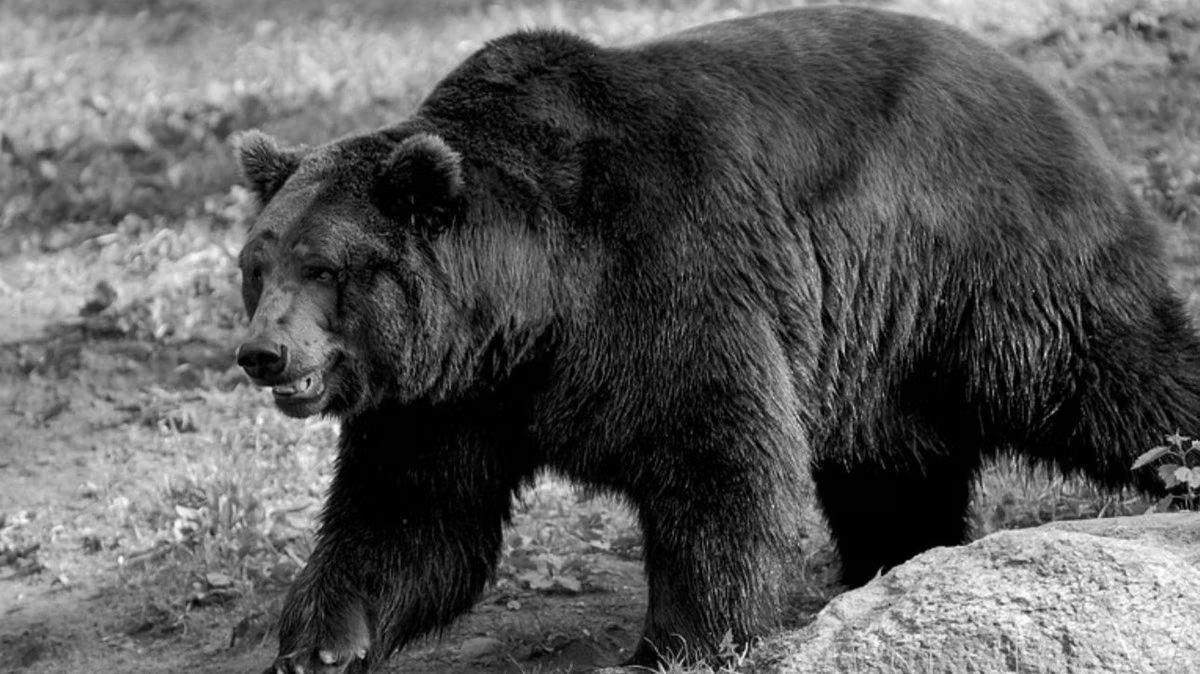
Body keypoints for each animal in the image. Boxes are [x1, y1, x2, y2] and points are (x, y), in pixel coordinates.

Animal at [233, 5, 1200, 673]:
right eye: (256, 262)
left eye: (323, 267)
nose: (261, 355)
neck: (528, 307)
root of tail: (1050, 93)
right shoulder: (448, 396)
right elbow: (410, 516)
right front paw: (319, 642)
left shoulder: (664, 274)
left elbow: (715, 459)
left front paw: (675, 641)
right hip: (881, 345)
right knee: (892, 467)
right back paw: (890, 561)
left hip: (987, 265)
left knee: (1113, 374)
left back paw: (1178, 468)